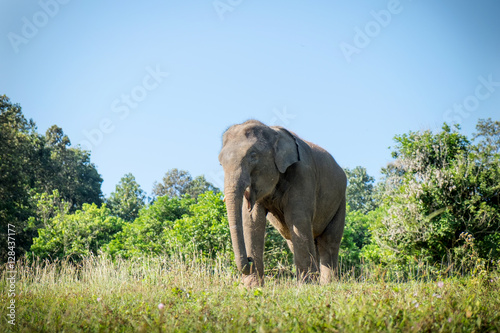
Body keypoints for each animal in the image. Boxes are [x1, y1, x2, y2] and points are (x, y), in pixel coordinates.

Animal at [219, 119, 348, 286]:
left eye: (253, 155)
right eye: (220, 163)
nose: (249, 259)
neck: (273, 132)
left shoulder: (303, 174)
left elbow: (298, 219)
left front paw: (306, 286)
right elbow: (252, 220)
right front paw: (251, 287)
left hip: (340, 200)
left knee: (329, 241)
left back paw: (327, 284)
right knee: (297, 240)